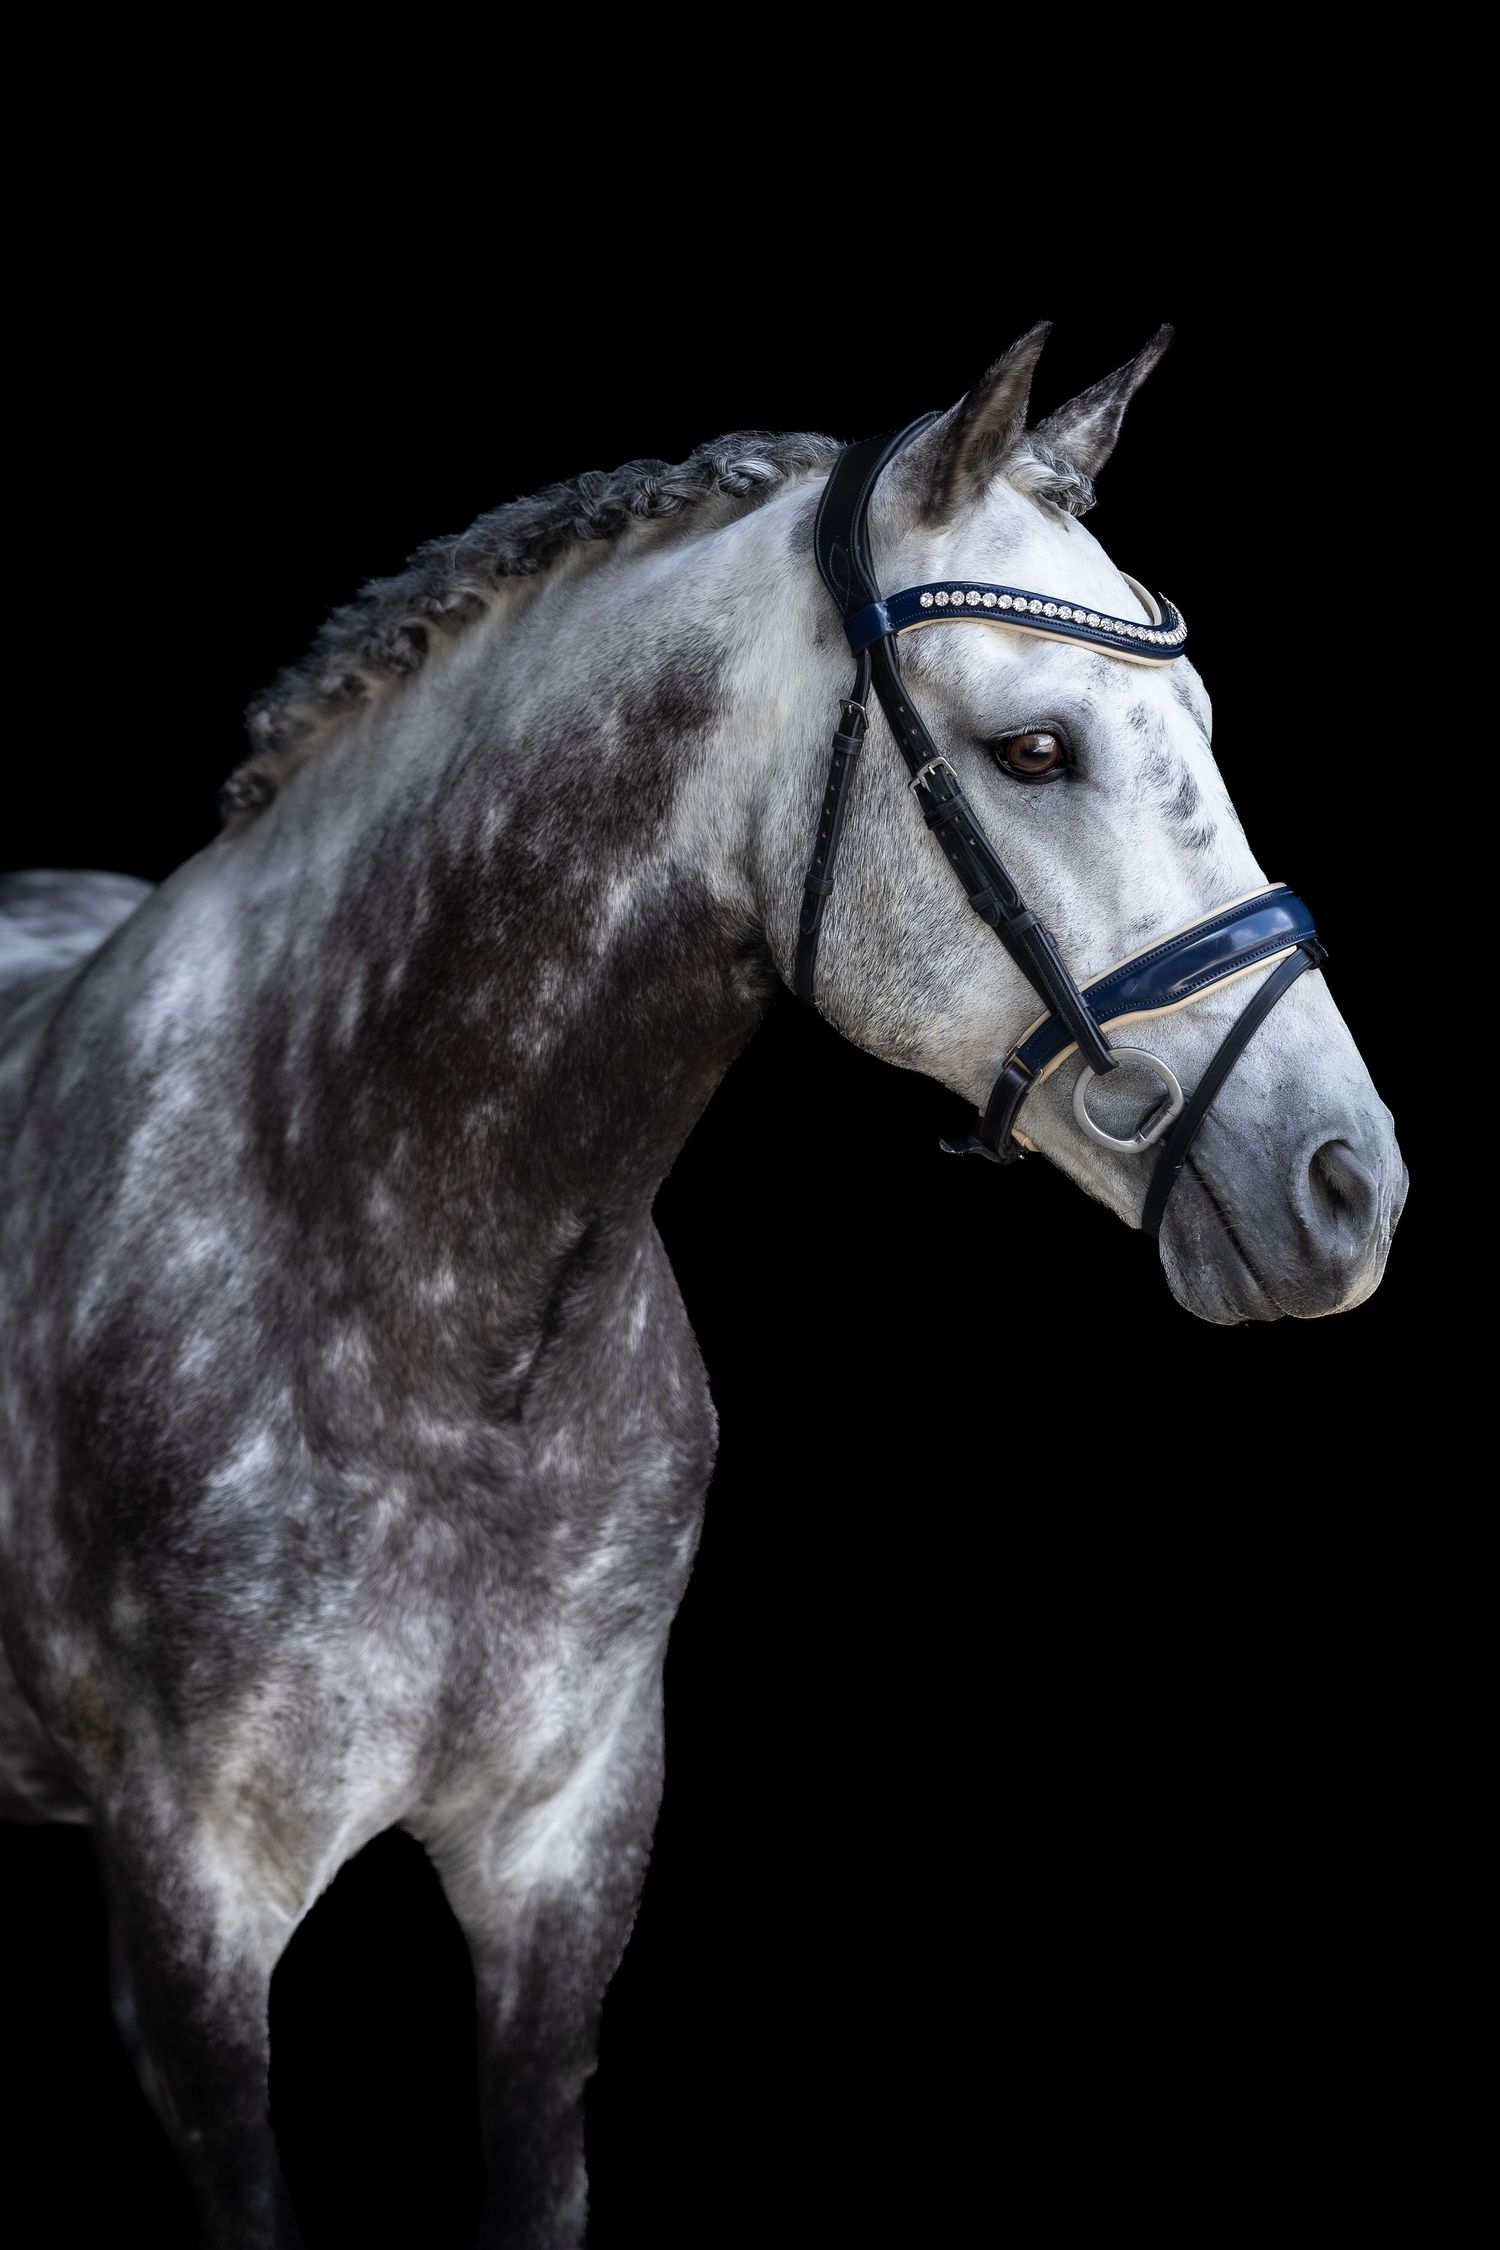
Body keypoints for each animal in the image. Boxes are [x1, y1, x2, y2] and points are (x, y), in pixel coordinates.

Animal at [0, 322, 1407, 2247]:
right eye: (1034, 749)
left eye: (1200, 731)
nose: (1349, 1183)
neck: (428, 1337)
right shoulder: (193, 1917)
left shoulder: (567, 1859)